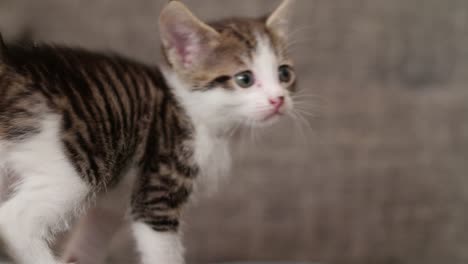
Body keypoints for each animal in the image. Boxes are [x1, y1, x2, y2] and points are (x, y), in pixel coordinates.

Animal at [0, 0, 296, 264]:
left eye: (284, 74)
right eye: (244, 79)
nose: (278, 100)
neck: (191, 111)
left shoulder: (113, 199)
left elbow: (92, 237)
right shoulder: (157, 190)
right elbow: (163, 250)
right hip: (71, 161)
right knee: (14, 222)